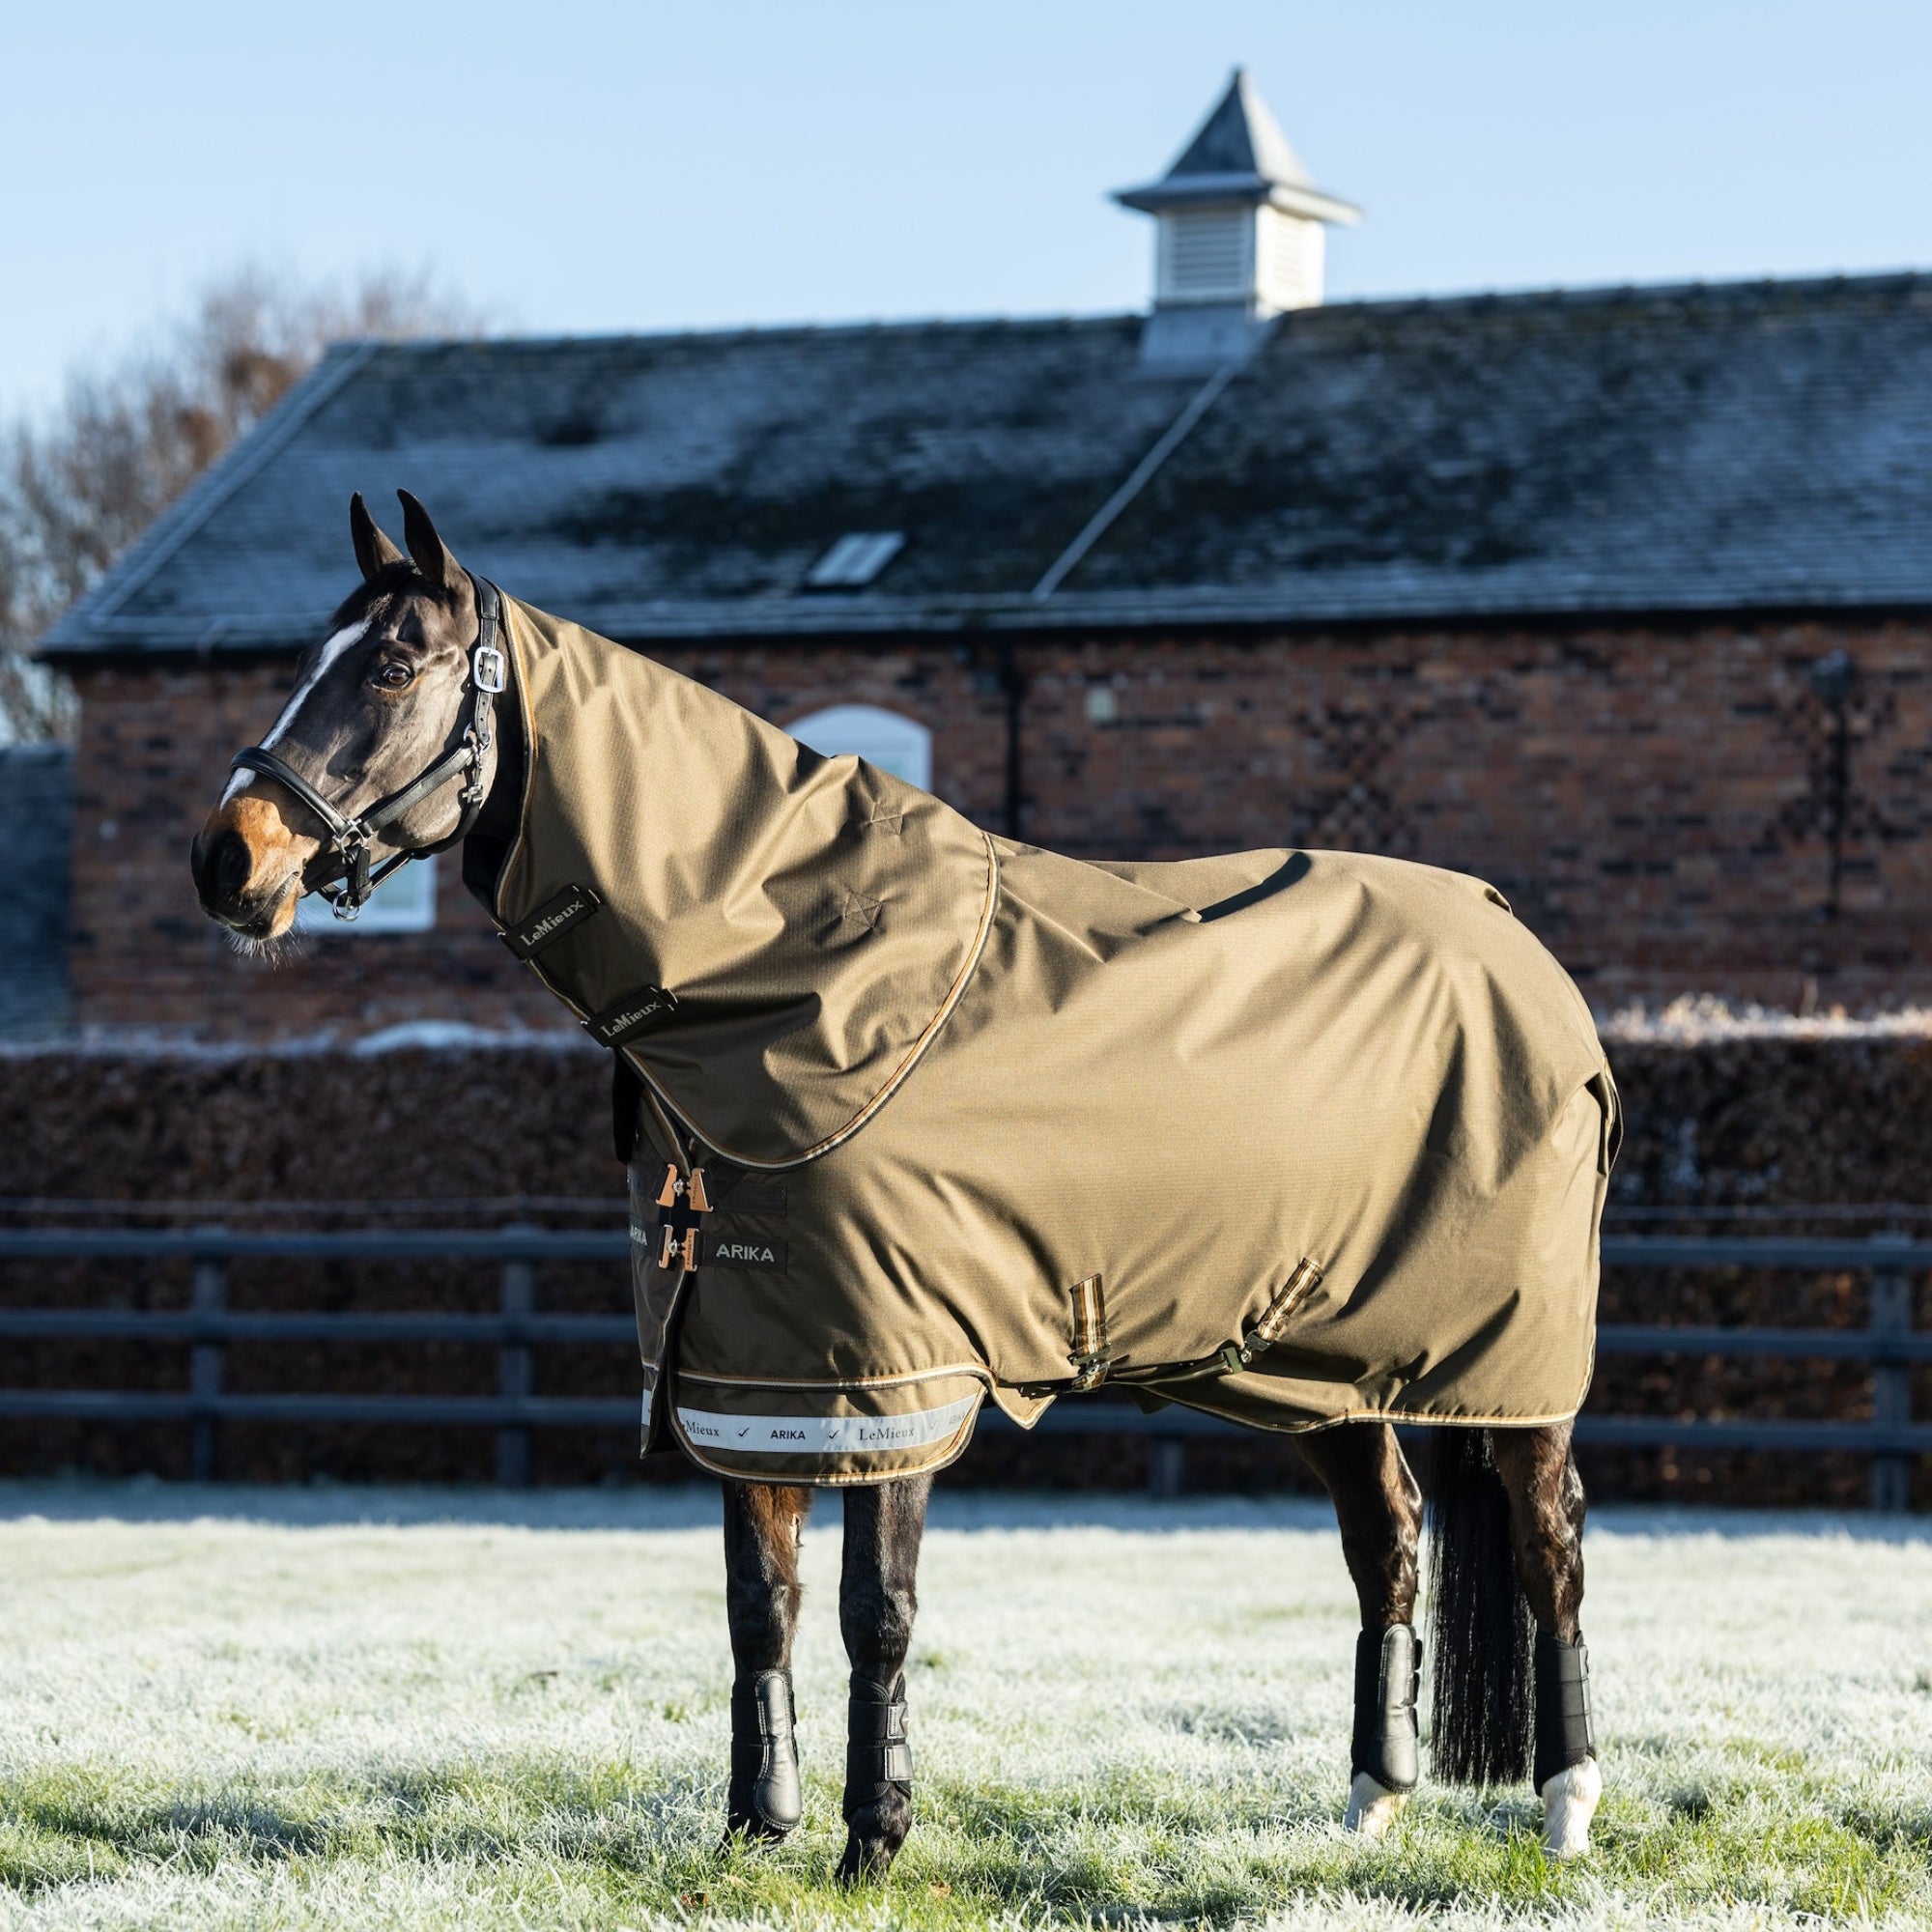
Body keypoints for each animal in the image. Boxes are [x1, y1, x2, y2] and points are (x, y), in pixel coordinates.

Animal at [190, 490, 1608, 1876]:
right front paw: (756, 1826)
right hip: (1318, 1357)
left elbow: (877, 1609)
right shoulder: (746, 1370)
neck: (784, 969)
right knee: (1389, 1532)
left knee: (1548, 1537)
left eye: (388, 665)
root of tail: (1516, 941)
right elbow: (757, 1605)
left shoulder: (895, 1374)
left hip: (1510, 1358)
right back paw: (1373, 1803)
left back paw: (1565, 1807)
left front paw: (873, 1838)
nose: (226, 859)